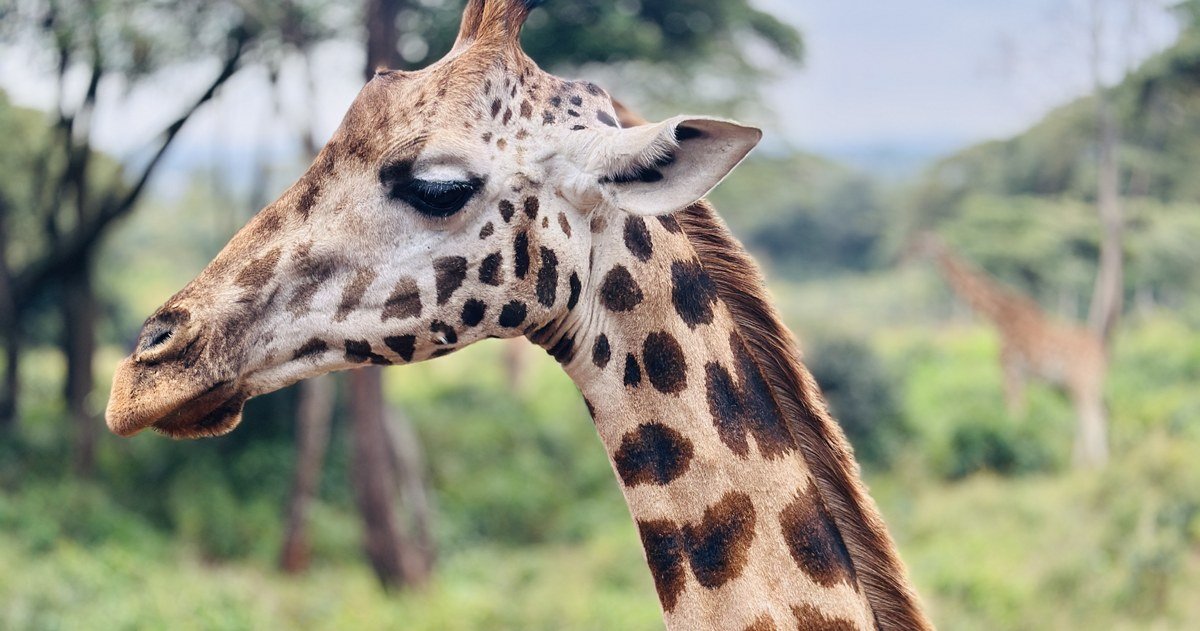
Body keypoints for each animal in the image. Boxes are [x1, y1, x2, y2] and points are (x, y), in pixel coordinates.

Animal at [913, 233, 1109, 468]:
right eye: (915, 242)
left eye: (921, 244)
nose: (906, 253)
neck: (999, 317)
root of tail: (1100, 349)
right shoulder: (1020, 375)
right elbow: (1020, 409)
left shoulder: (1009, 369)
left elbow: (1014, 410)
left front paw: (1015, 445)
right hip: (1087, 382)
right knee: (1097, 413)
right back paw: (1096, 462)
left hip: (1080, 380)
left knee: (1089, 414)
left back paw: (1093, 464)